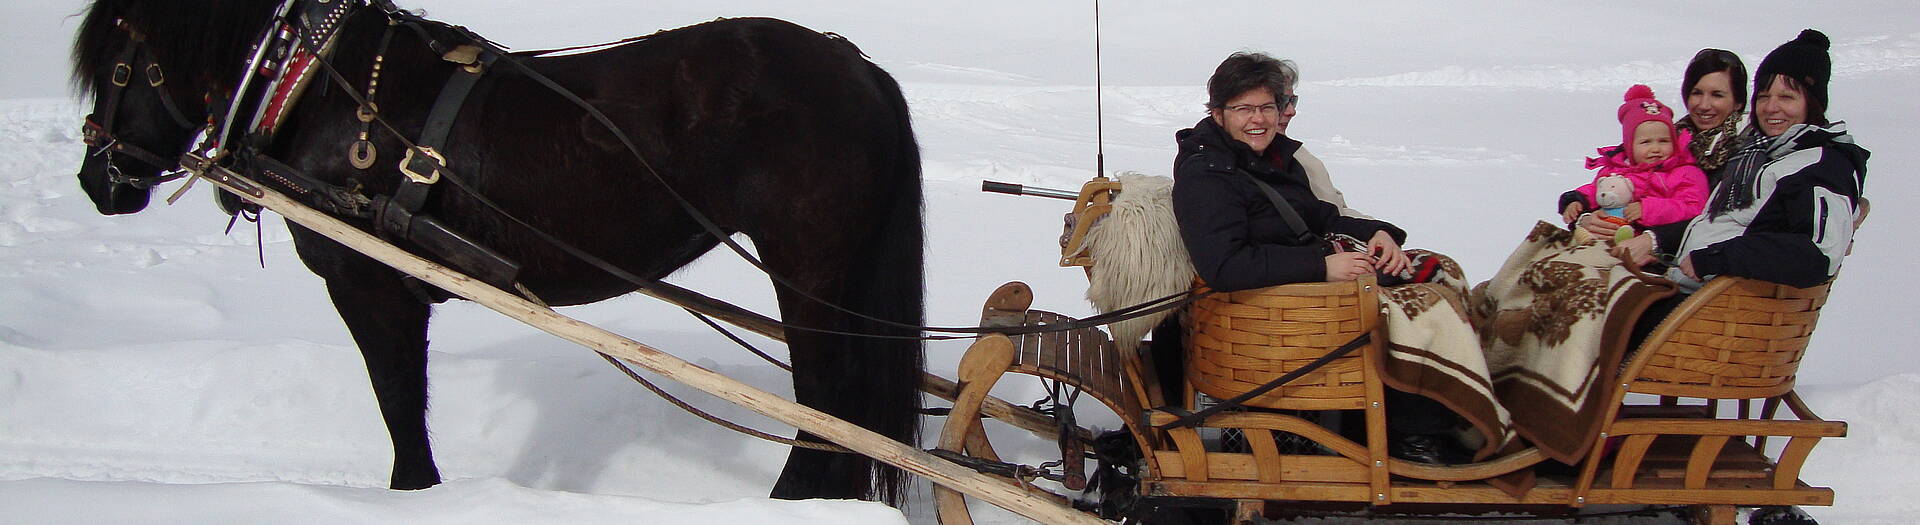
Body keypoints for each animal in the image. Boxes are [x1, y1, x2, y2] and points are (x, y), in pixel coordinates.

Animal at [67, 0, 921, 503]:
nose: (97, 181)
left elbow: (397, 401)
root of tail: (853, 65)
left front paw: (413, 492)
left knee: (824, 402)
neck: (325, 91)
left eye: (117, 63)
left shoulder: (368, 282)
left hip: (804, 267)